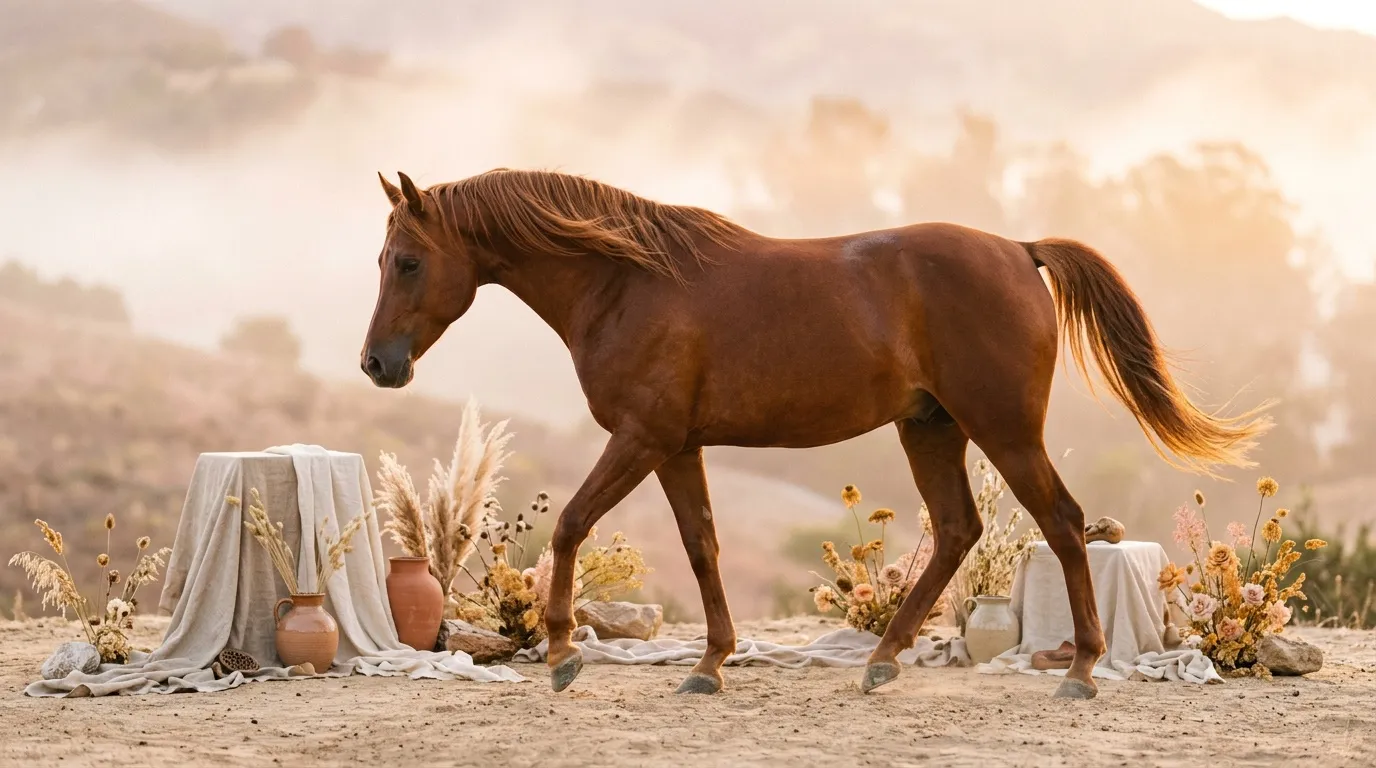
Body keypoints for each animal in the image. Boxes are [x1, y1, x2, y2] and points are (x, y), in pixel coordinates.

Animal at [361, 168, 1271, 699]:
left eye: (408, 260)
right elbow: (702, 546)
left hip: (1004, 432)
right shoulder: (676, 446)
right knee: (958, 530)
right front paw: (710, 665)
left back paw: (1080, 670)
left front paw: (560, 654)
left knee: (1063, 522)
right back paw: (883, 659)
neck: (625, 281)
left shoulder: (641, 439)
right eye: (384, 259)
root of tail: (1020, 250)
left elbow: (573, 524)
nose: (377, 364)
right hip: (932, 430)